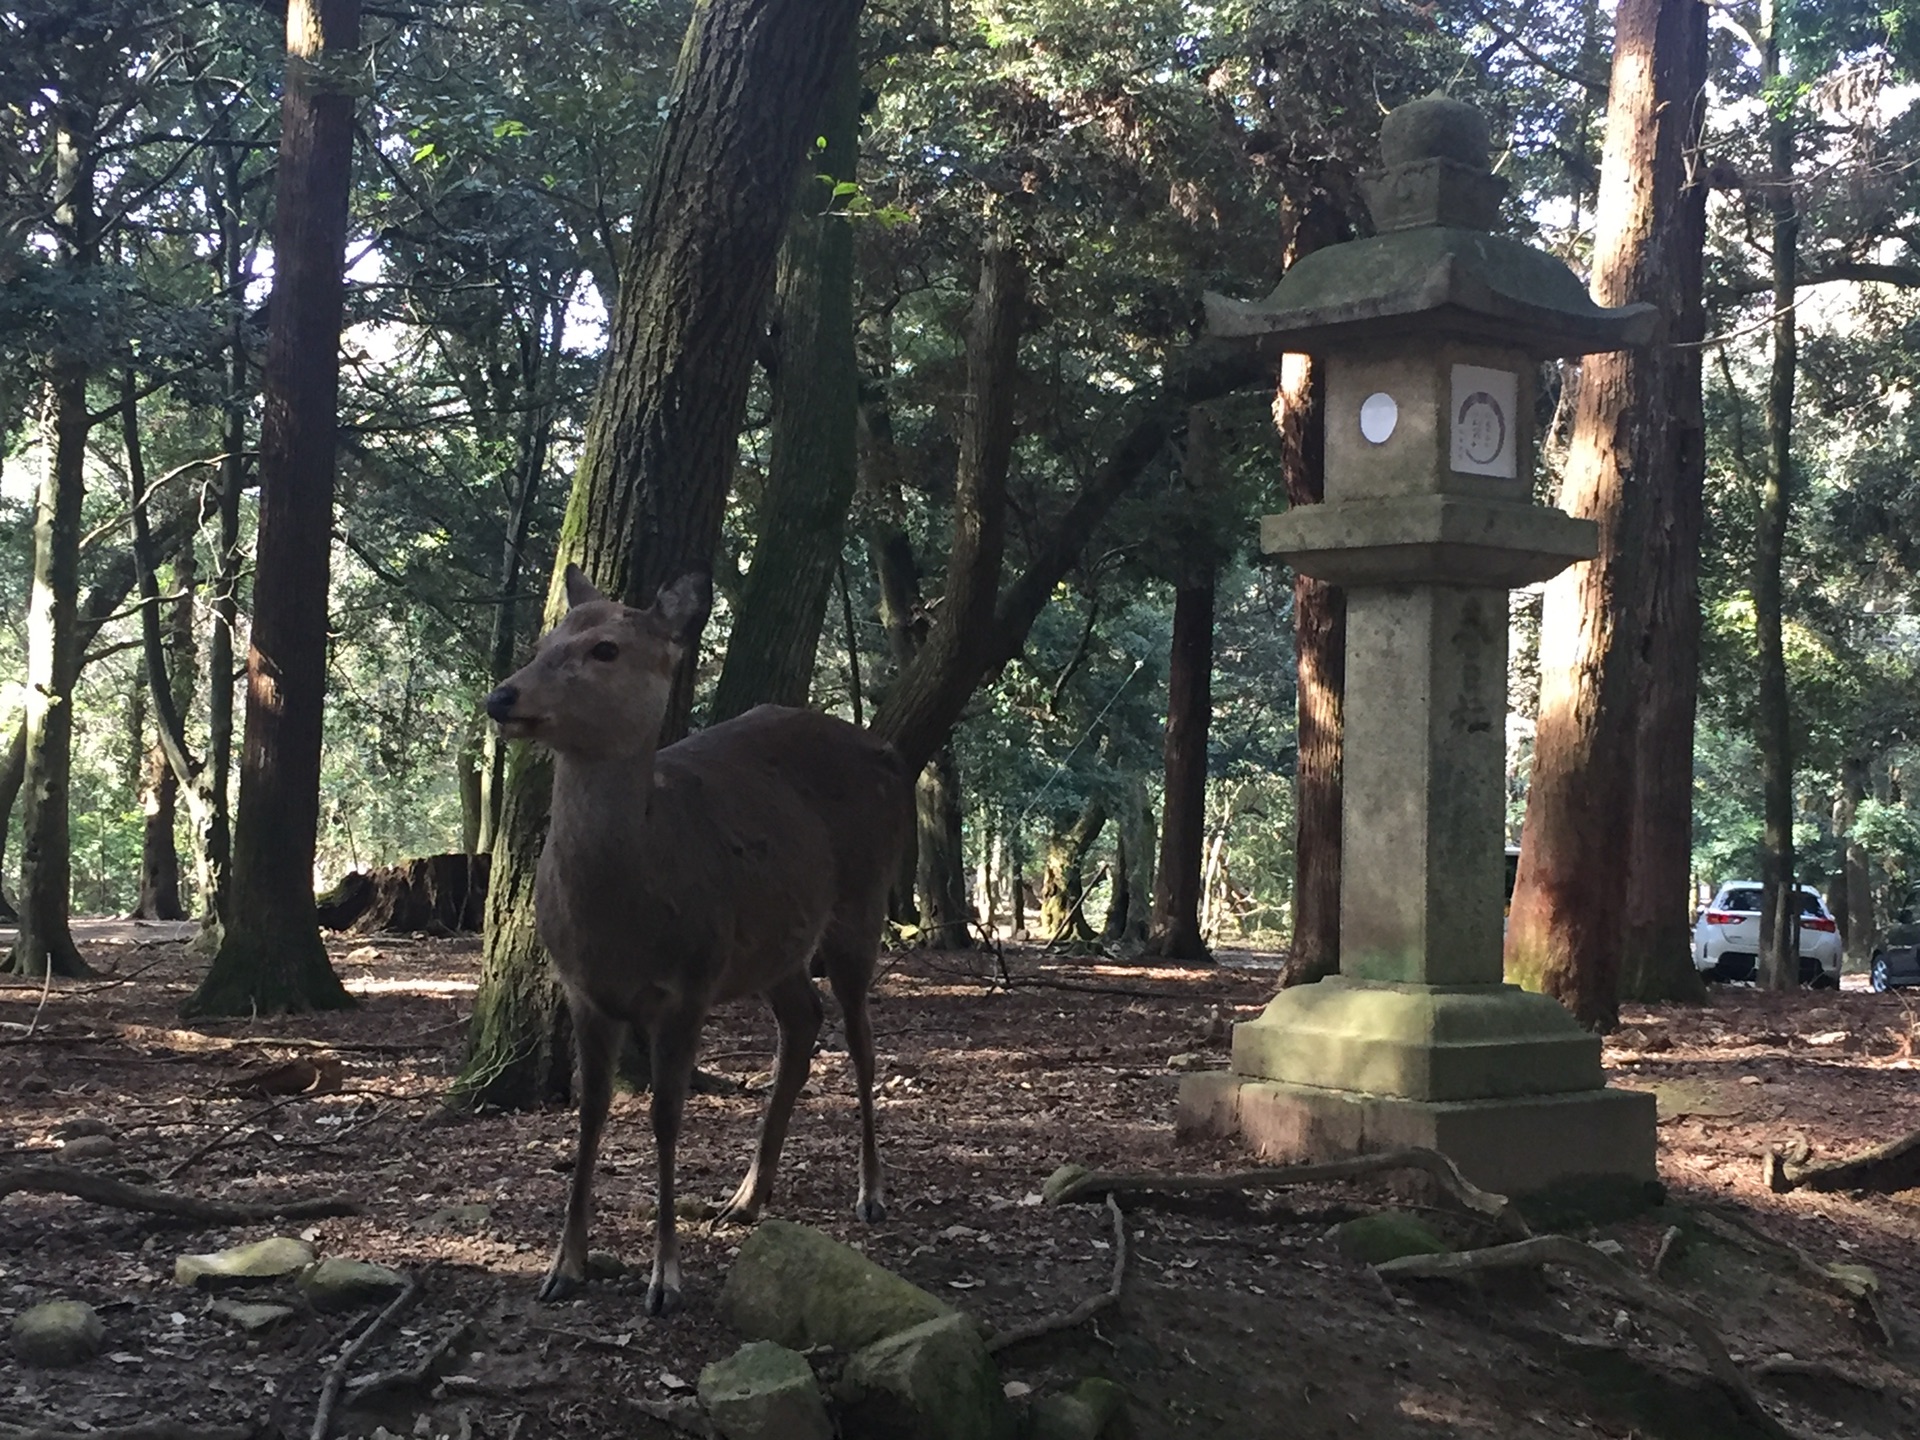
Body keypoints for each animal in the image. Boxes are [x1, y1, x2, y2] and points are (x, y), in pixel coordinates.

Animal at [491, 568, 917, 1320]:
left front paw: (665, 1279)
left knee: (863, 1043)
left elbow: (666, 1116)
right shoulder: (582, 988)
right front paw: (563, 1267)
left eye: (606, 648)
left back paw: (871, 1193)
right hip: (773, 947)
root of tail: (892, 756)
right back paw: (746, 1197)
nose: (501, 697)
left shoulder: (689, 982)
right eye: (544, 642)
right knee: (802, 1023)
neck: (622, 921)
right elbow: (589, 1116)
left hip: (861, 904)